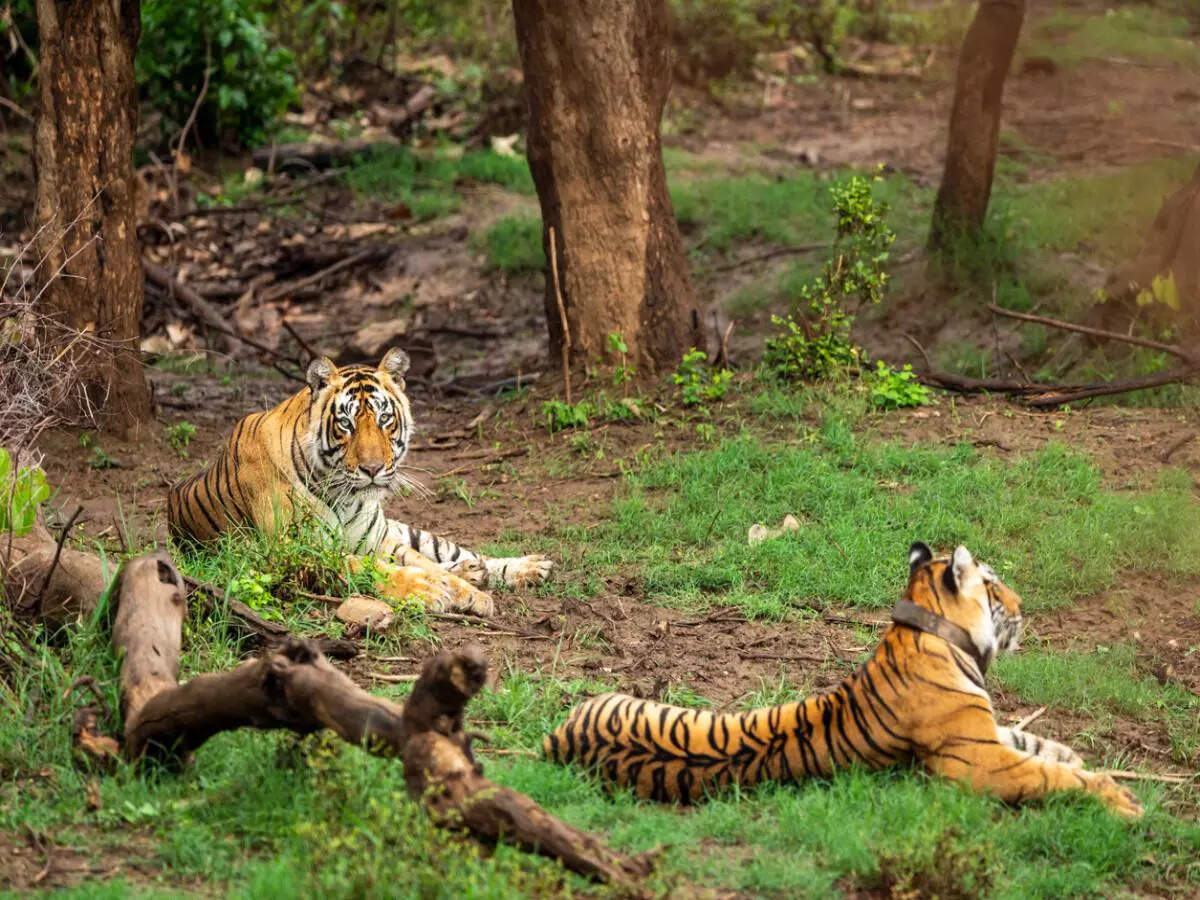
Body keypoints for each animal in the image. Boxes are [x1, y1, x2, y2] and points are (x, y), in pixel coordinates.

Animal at [167, 348, 553, 615]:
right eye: (346, 424)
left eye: (384, 419)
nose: (372, 468)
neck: (345, 495)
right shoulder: (300, 552)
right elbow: (383, 570)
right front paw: (430, 590)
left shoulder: (377, 541)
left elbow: (422, 563)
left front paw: (469, 593)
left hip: (402, 531)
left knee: (454, 553)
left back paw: (524, 567)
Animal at [543, 542, 1143, 818]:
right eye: (994, 586)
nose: (1023, 606)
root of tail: (557, 740)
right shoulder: (976, 761)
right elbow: (1048, 775)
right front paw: (1120, 799)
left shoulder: (986, 731)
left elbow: (1037, 743)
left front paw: (1076, 757)